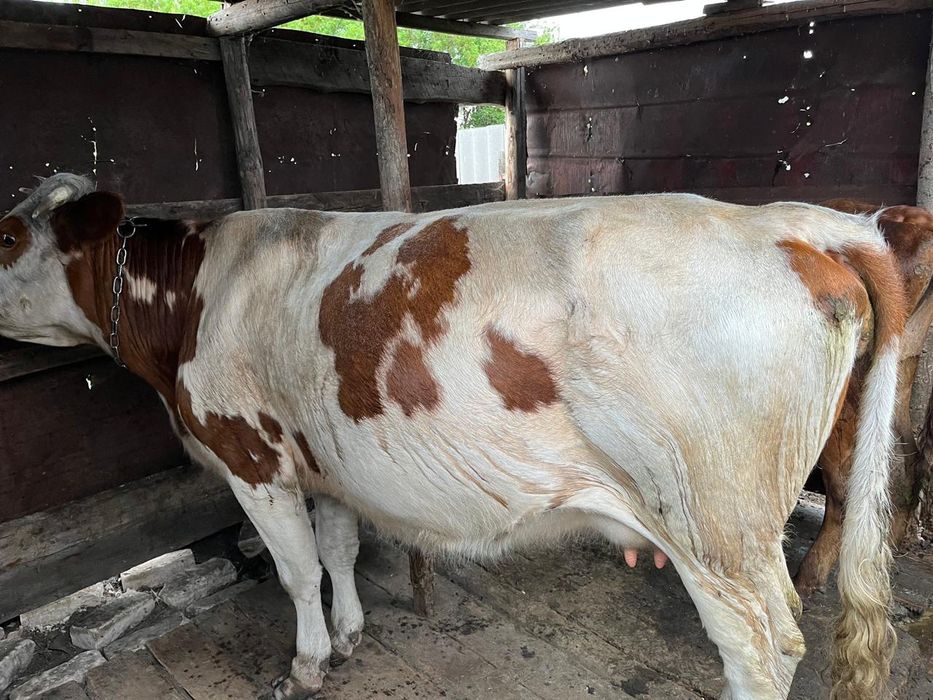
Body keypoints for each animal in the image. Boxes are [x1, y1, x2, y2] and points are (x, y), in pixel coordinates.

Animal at [0, 173, 905, 699]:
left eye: (7, 235)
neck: (195, 294)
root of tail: (787, 222)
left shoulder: (251, 456)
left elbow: (296, 572)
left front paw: (306, 663)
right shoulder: (325, 459)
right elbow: (336, 551)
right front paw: (350, 636)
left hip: (714, 527)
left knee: (761, 649)